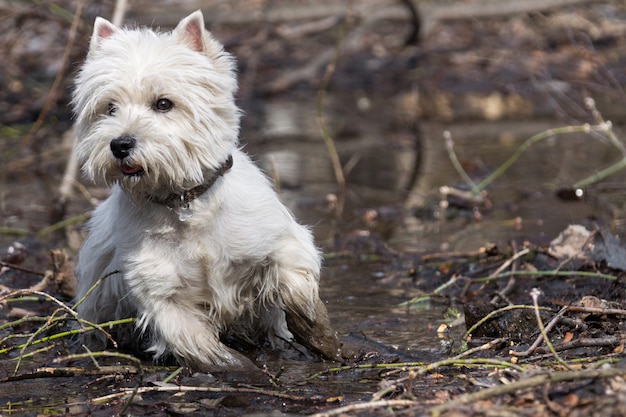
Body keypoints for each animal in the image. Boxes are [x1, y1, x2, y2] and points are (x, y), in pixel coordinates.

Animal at [72, 10, 342, 370]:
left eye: (163, 103)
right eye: (110, 107)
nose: (120, 144)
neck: (185, 205)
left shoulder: (280, 241)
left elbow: (298, 290)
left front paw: (326, 341)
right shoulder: (162, 294)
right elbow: (203, 346)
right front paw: (245, 371)